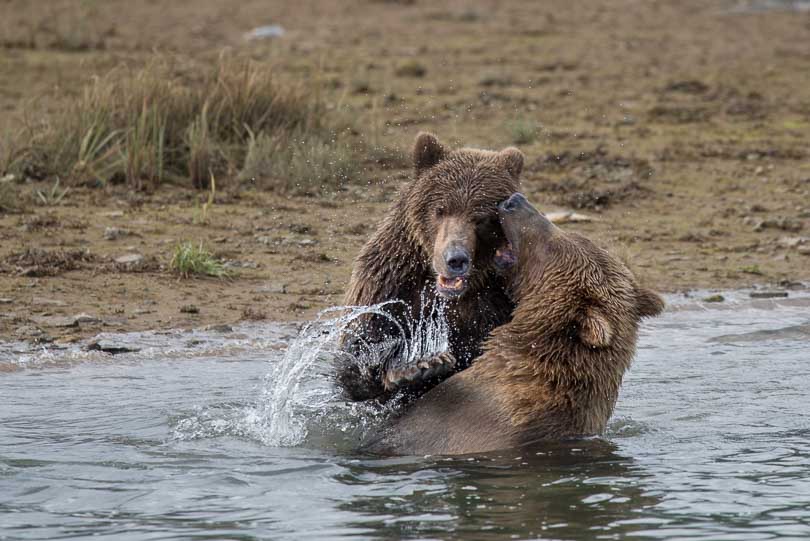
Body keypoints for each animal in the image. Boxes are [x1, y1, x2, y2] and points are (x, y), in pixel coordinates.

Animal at [334, 131, 524, 400]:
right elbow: (358, 355)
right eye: (440, 210)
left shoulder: (496, 302)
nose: (455, 259)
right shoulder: (387, 285)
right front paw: (419, 365)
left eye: (481, 218)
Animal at [366, 192, 664, 454]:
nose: (514, 201)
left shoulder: (461, 416)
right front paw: (422, 366)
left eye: (553, 242)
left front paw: (417, 367)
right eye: (576, 235)